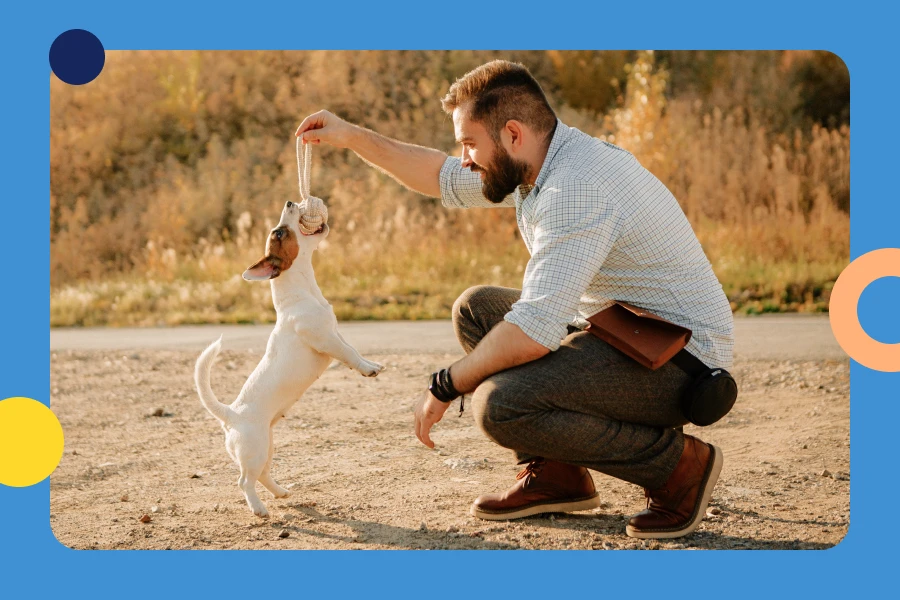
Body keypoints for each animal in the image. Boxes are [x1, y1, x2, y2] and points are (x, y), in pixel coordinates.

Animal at [195, 200, 382, 516]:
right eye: (279, 233)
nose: (290, 202)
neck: (301, 291)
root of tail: (230, 415)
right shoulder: (326, 340)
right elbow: (349, 354)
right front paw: (367, 370)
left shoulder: (335, 333)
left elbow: (353, 349)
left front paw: (371, 364)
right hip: (255, 449)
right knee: (244, 481)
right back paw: (259, 508)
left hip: (267, 447)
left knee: (263, 475)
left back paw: (281, 492)